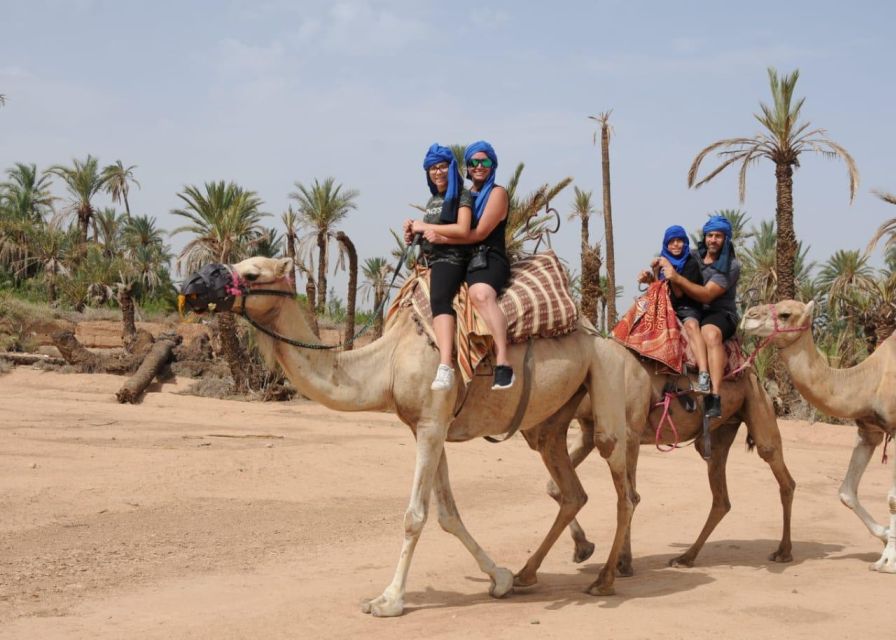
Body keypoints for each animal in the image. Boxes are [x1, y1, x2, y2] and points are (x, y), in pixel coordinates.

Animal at [178, 258, 632, 616]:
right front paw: (499, 578)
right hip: (551, 422)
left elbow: (414, 515)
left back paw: (607, 579)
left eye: (251, 273)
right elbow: (448, 515)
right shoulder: (430, 425)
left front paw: (388, 600)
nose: (190, 287)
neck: (387, 363)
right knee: (571, 489)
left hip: (605, 373)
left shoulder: (431, 423)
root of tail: (601, 331)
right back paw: (533, 571)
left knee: (621, 481)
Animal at [516, 338, 796, 588]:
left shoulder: (630, 432)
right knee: (721, 498)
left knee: (781, 471)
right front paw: (584, 548)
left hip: (757, 404)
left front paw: (622, 564)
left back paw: (783, 552)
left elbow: (631, 496)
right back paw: (686, 557)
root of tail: (751, 373)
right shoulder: (588, 432)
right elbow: (556, 488)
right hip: (720, 433)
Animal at [744, 300, 896, 576]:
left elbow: (892, 498)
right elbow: (846, 492)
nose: (748, 315)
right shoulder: (868, 431)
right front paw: (885, 535)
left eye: (785, 314)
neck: (870, 380)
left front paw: (888, 562)